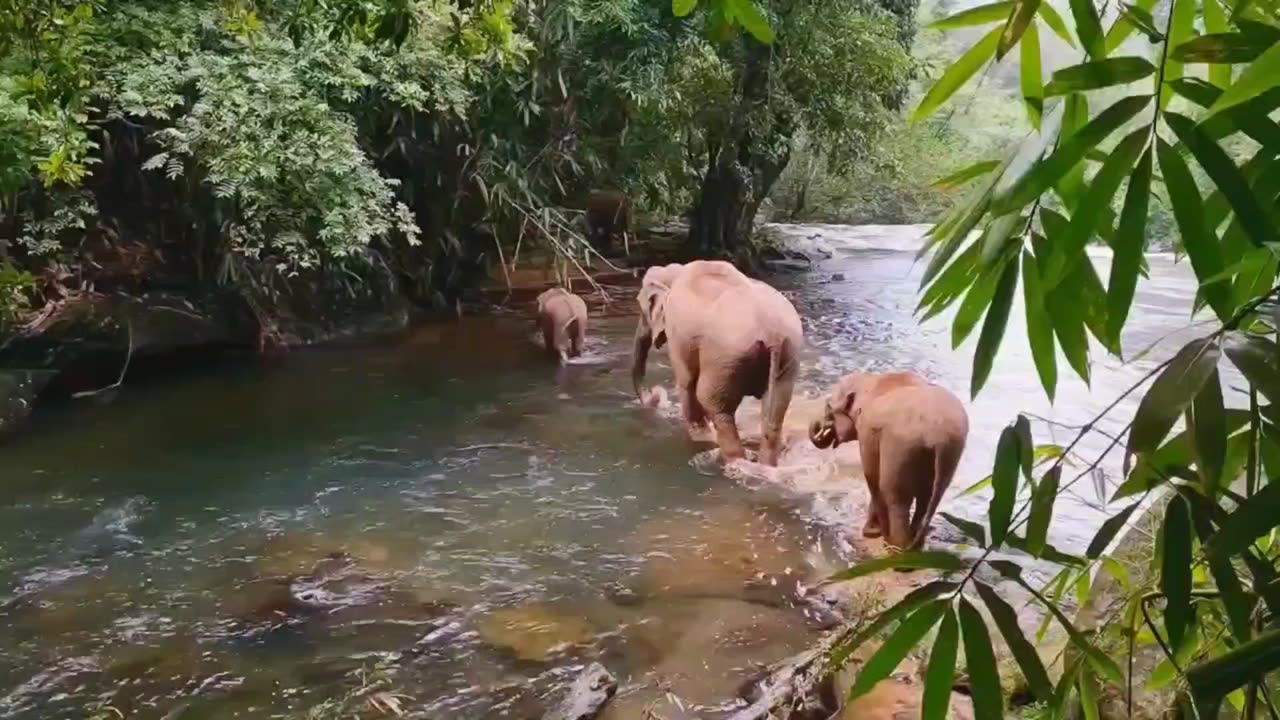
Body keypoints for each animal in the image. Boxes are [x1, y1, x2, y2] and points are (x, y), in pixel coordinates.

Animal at [629, 258, 798, 466]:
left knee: (714, 405)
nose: (655, 394)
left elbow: (686, 382)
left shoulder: (678, 332)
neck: (675, 271)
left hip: (725, 358)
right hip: (786, 356)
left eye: (641, 308)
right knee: (774, 414)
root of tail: (772, 334)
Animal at [808, 371, 967, 545]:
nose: (821, 426)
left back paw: (896, 543)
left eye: (828, 406)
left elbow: (872, 475)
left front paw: (871, 532)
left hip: (901, 445)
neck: (870, 379)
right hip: (951, 451)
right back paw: (915, 542)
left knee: (895, 494)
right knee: (929, 495)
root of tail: (939, 435)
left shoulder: (866, 430)